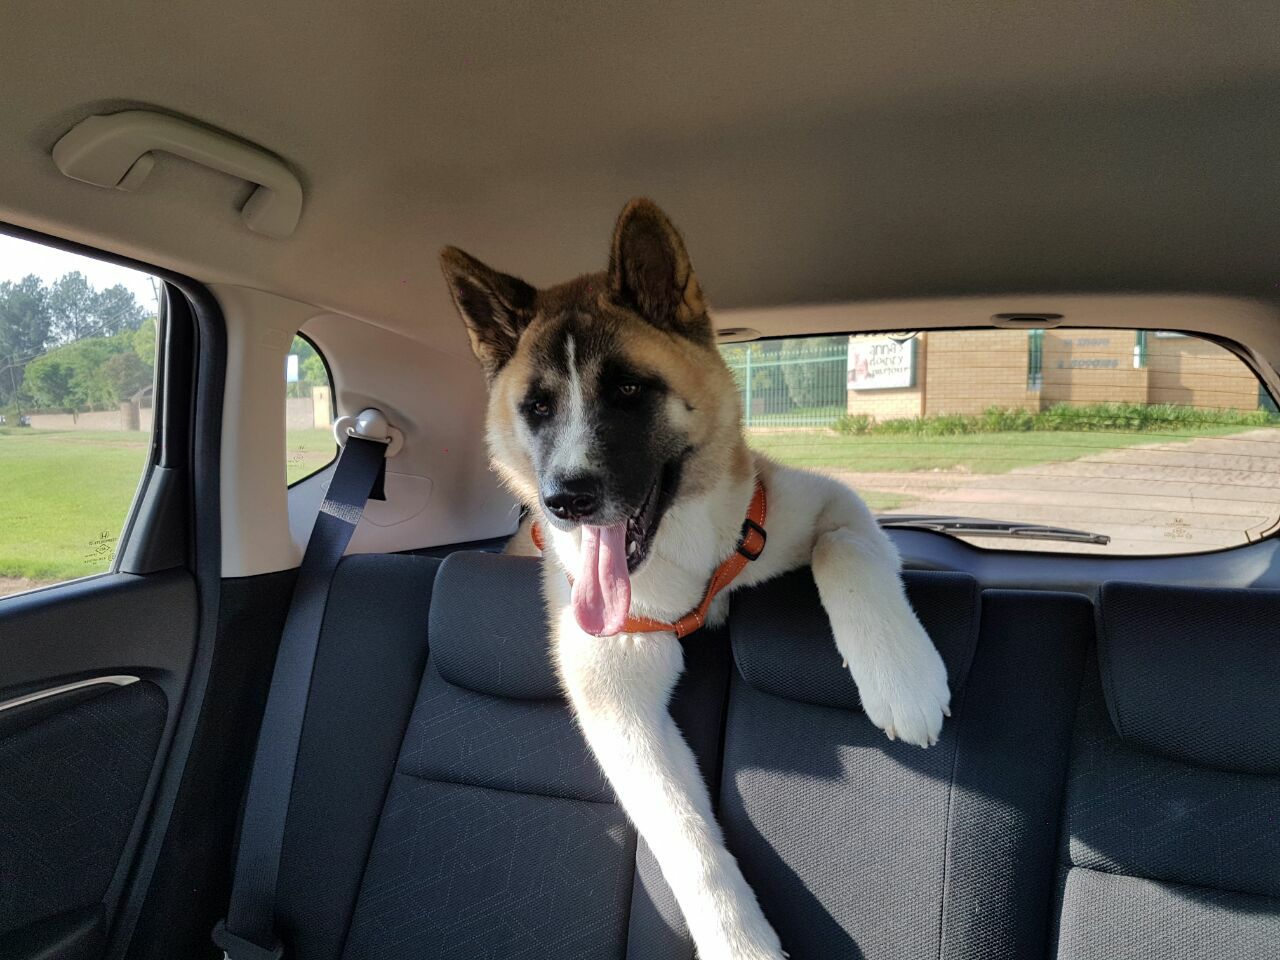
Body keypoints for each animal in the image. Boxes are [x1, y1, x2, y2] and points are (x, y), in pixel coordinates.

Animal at [440, 197, 952, 960]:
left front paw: (903, 680)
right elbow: (687, 842)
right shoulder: (617, 699)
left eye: (627, 389)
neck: (678, 557)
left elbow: (846, 551)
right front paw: (740, 943)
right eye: (537, 408)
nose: (565, 500)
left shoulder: (821, 507)